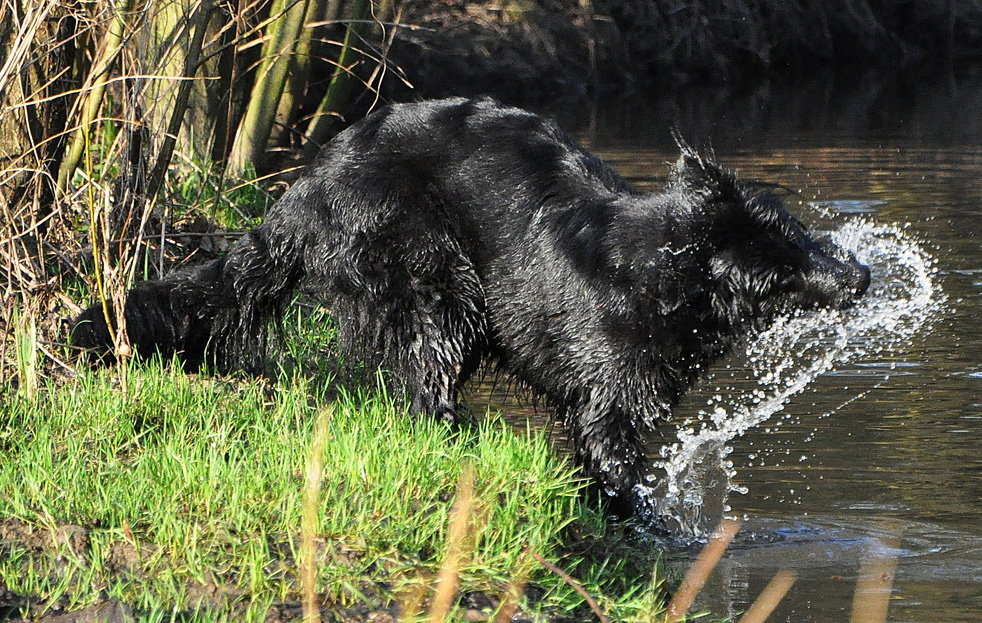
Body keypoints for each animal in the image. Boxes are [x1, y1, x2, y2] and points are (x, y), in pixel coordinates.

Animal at [73, 96, 872, 516]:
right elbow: (612, 461)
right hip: (426, 268)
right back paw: (461, 438)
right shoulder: (609, 394)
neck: (657, 270)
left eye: (798, 232)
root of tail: (305, 190)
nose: (861, 275)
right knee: (426, 373)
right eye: (779, 272)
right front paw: (642, 524)